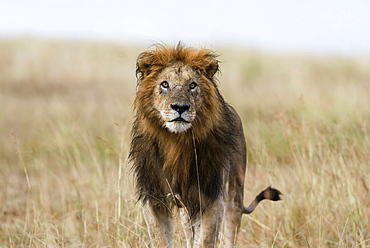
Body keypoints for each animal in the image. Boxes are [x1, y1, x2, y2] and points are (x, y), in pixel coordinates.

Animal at [129, 43, 282, 247]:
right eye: (165, 84)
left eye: (192, 85)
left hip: (234, 193)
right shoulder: (153, 196)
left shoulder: (211, 197)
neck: (176, 143)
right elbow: (160, 239)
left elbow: (205, 240)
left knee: (230, 232)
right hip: (186, 209)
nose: (180, 107)